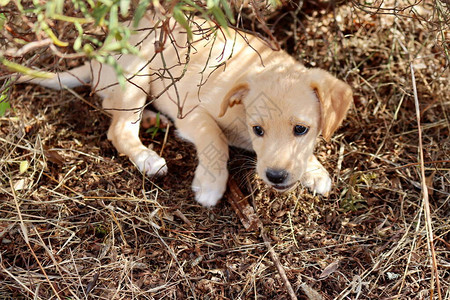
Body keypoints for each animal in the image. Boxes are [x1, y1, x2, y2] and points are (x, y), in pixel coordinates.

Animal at [19, 13, 354, 206]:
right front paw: (210, 184)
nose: (276, 176)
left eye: (301, 129)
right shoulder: (193, 114)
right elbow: (215, 140)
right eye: (258, 129)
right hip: (139, 72)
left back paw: (151, 120)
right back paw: (147, 157)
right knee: (118, 127)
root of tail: (99, 56)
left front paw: (315, 170)